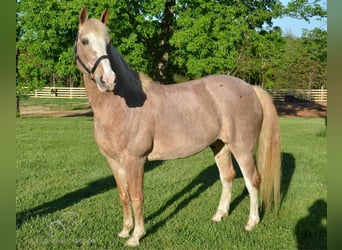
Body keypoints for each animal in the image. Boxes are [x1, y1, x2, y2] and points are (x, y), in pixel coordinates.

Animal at [74, 6, 280, 247]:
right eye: (85, 41)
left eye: (108, 42)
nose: (108, 79)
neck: (122, 105)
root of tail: (250, 87)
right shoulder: (114, 161)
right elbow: (123, 196)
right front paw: (125, 231)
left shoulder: (135, 161)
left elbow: (137, 197)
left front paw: (136, 236)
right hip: (220, 145)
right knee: (227, 177)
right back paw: (219, 215)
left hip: (242, 148)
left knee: (252, 180)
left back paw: (251, 223)